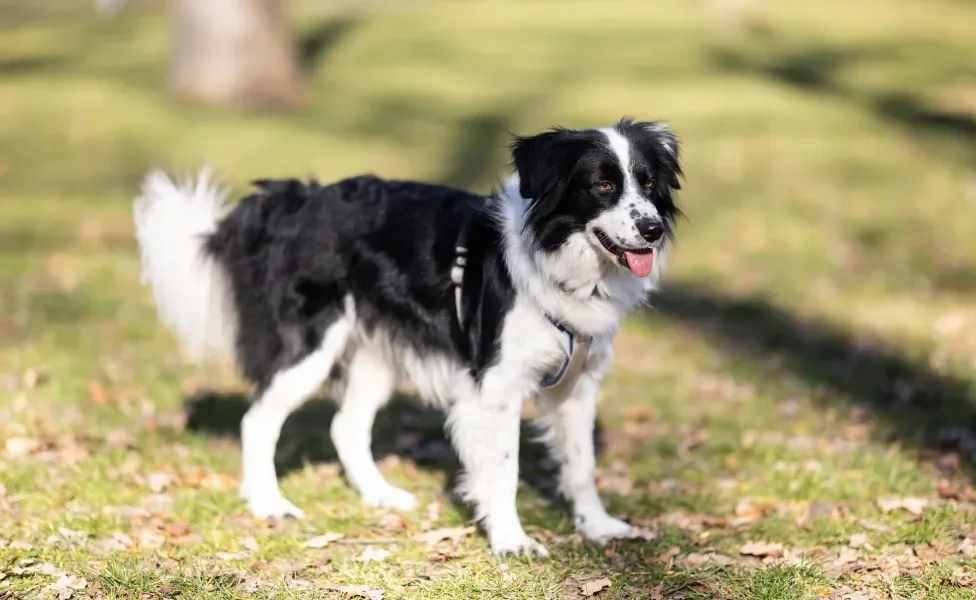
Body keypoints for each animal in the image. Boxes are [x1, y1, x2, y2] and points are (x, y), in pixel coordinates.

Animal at [133, 118, 684, 556]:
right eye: (603, 185)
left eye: (648, 183)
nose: (653, 229)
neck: (557, 259)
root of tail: (292, 198)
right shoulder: (496, 388)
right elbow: (503, 469)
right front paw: (512, 540)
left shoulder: (578, 384)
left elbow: (581, 464)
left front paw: (598, 526)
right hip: (310, 347)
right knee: (259, 421)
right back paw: (270, 503)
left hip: (376, 355)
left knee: (346, 427)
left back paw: (380, 495)